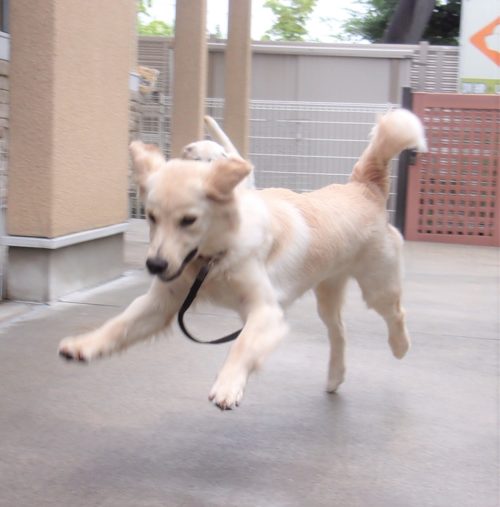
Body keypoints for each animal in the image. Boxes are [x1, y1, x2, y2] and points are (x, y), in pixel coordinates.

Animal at [58, 109, 426, 410]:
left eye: (188, 220)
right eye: (150, 216)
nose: (155, 266)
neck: (214, 259)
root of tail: (364, 187)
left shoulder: (266, 311)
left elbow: (242, 345)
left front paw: (228, 385)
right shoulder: (162, 303)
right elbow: (119, 324)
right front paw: (86, 344)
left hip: (377, 287)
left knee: (396, 313)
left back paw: (400, 346)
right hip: (327, 292)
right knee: (339, 331)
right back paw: (335, 377)